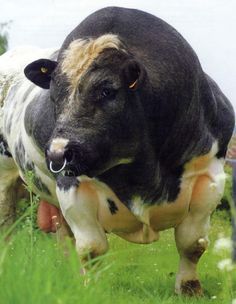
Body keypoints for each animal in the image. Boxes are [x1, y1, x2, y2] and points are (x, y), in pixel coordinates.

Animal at [0, 7, 234, 296]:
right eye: (54, 95)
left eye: (106, 91)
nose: (55, 155)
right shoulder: (71, 184)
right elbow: (92, 249)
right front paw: (92, 290)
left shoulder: (210, 176)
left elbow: (193, 242)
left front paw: (189, 288)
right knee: (7, 228)